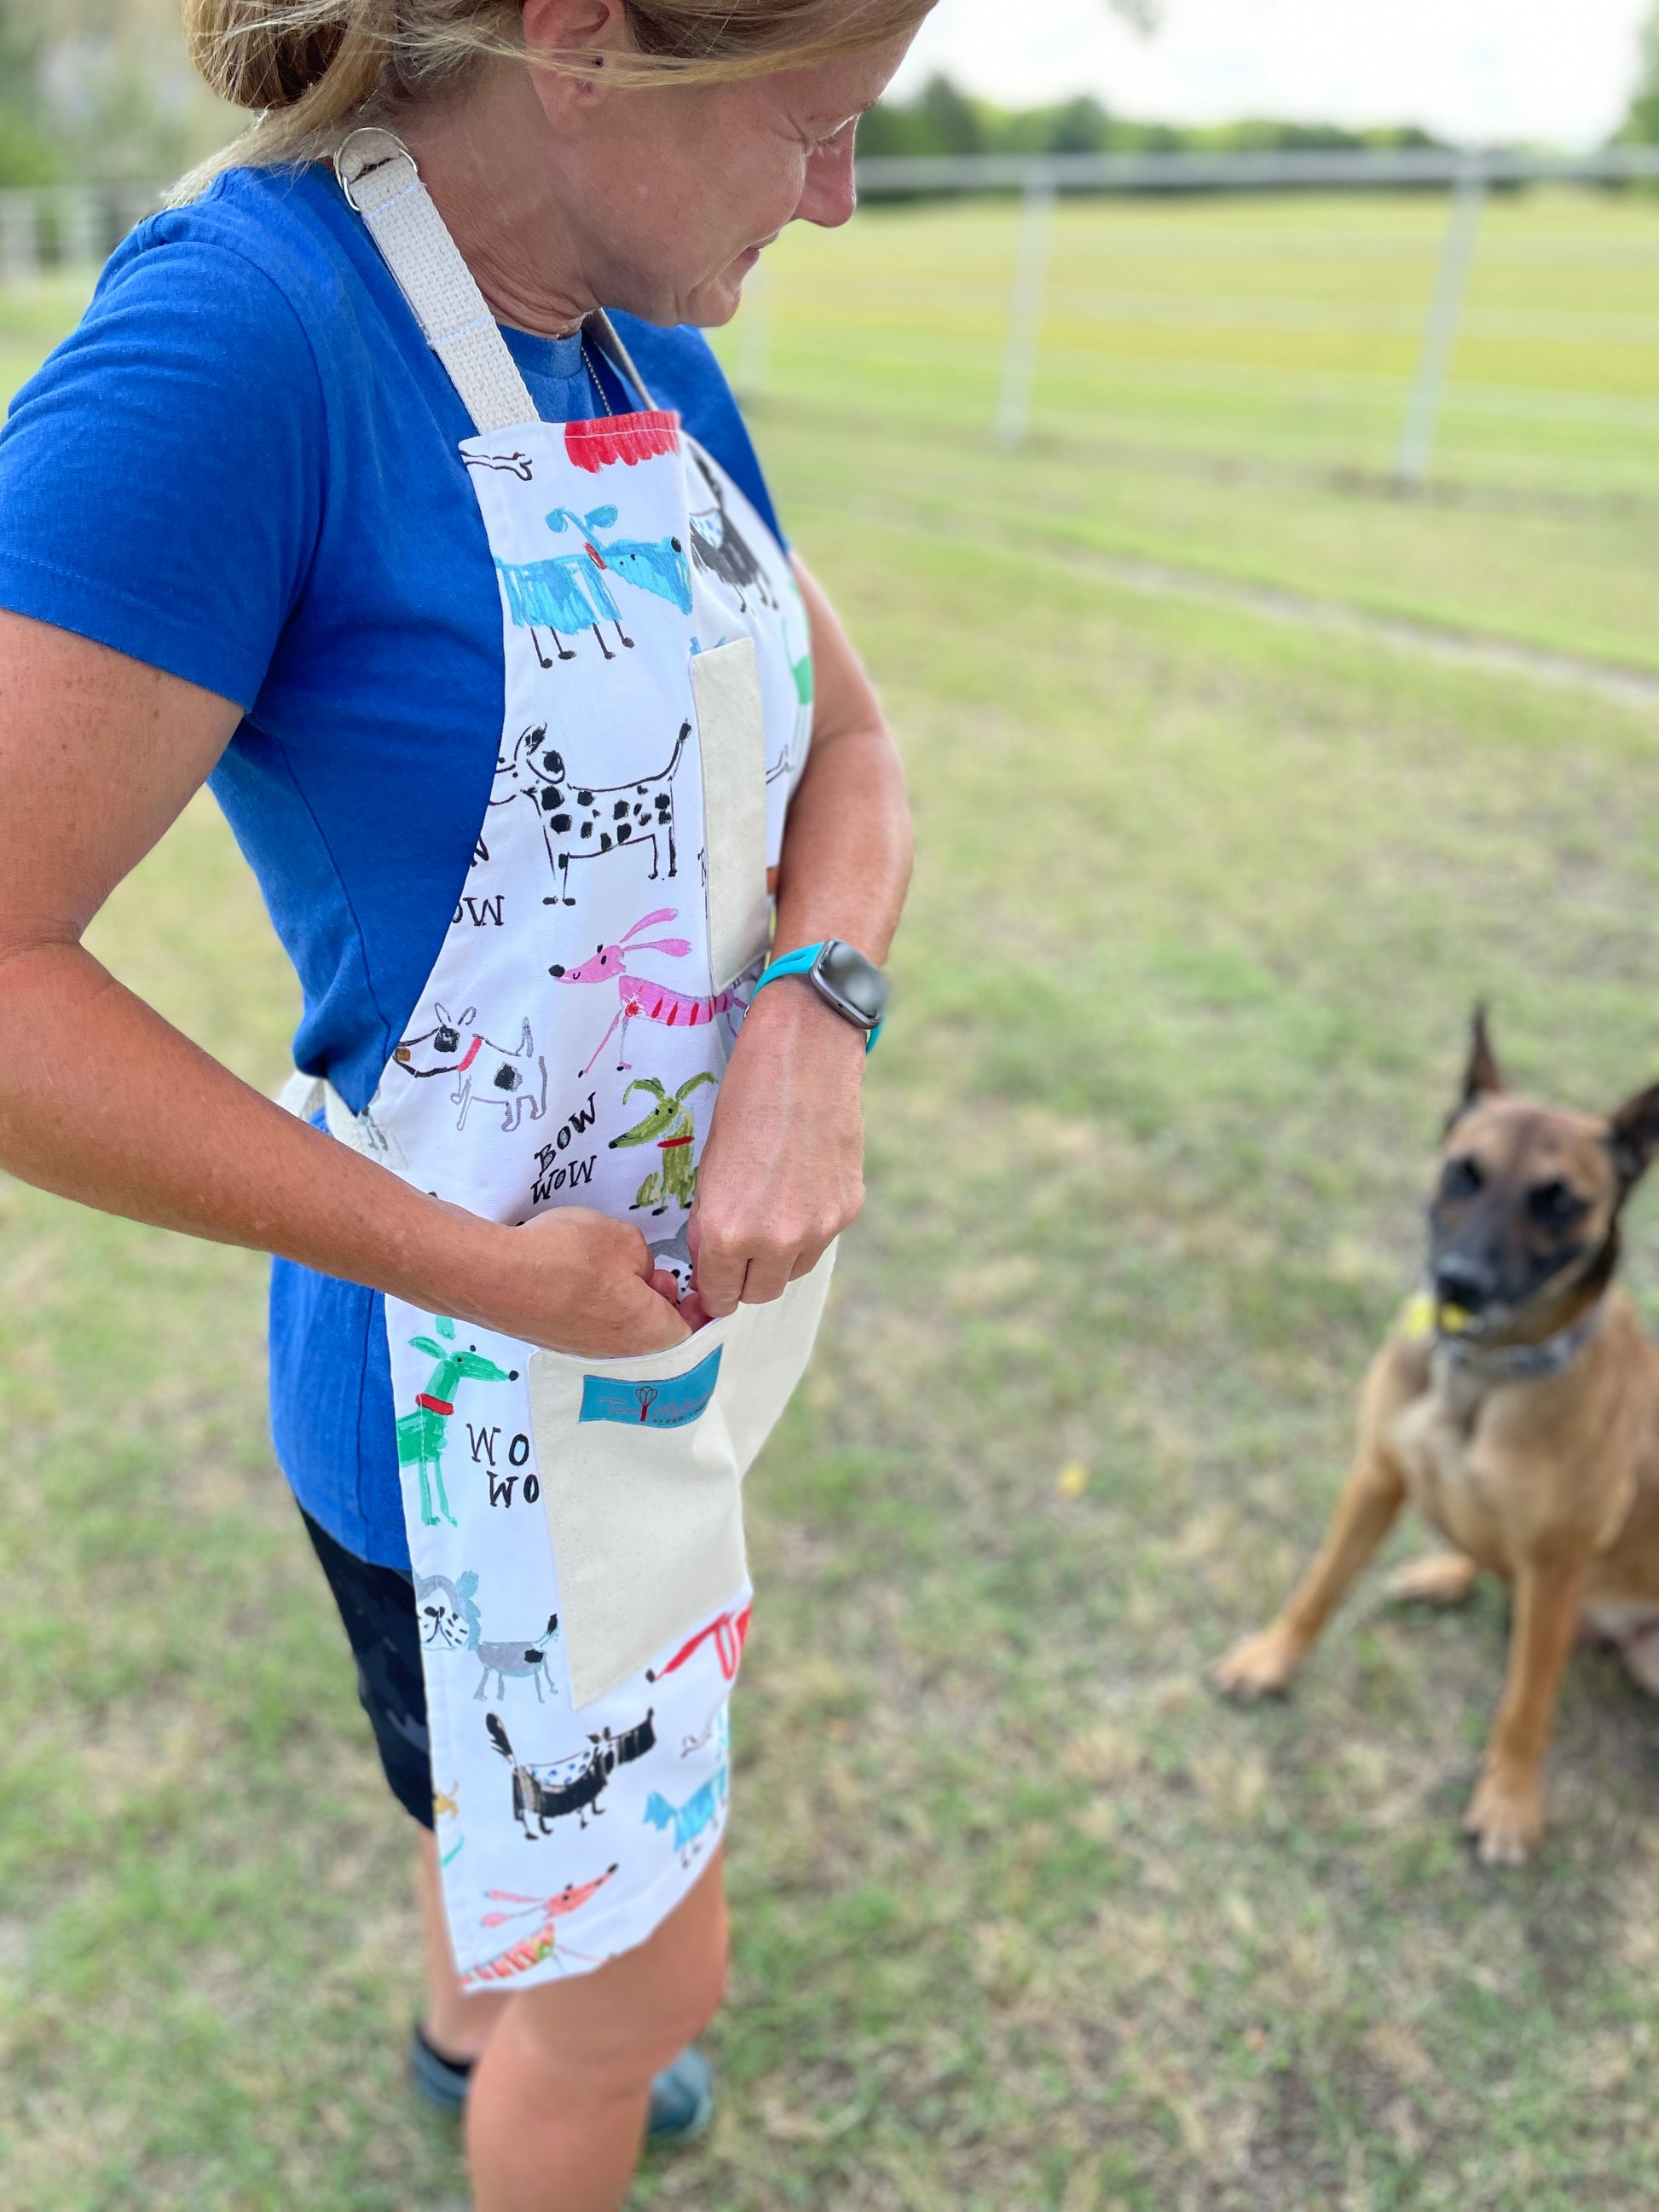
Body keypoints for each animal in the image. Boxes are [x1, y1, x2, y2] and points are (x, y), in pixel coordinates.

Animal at [1211, 1017, 1659, 1867]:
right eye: (1464, 1173)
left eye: (1560, 1200)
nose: (1458, 1283)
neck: (1485, 1375)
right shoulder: (1376, 1476)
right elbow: (1319, 1585)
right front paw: (1272, 1659)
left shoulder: (1559, 1563)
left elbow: (1525, 1703)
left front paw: (1509, 1803)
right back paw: (1445, 1573)